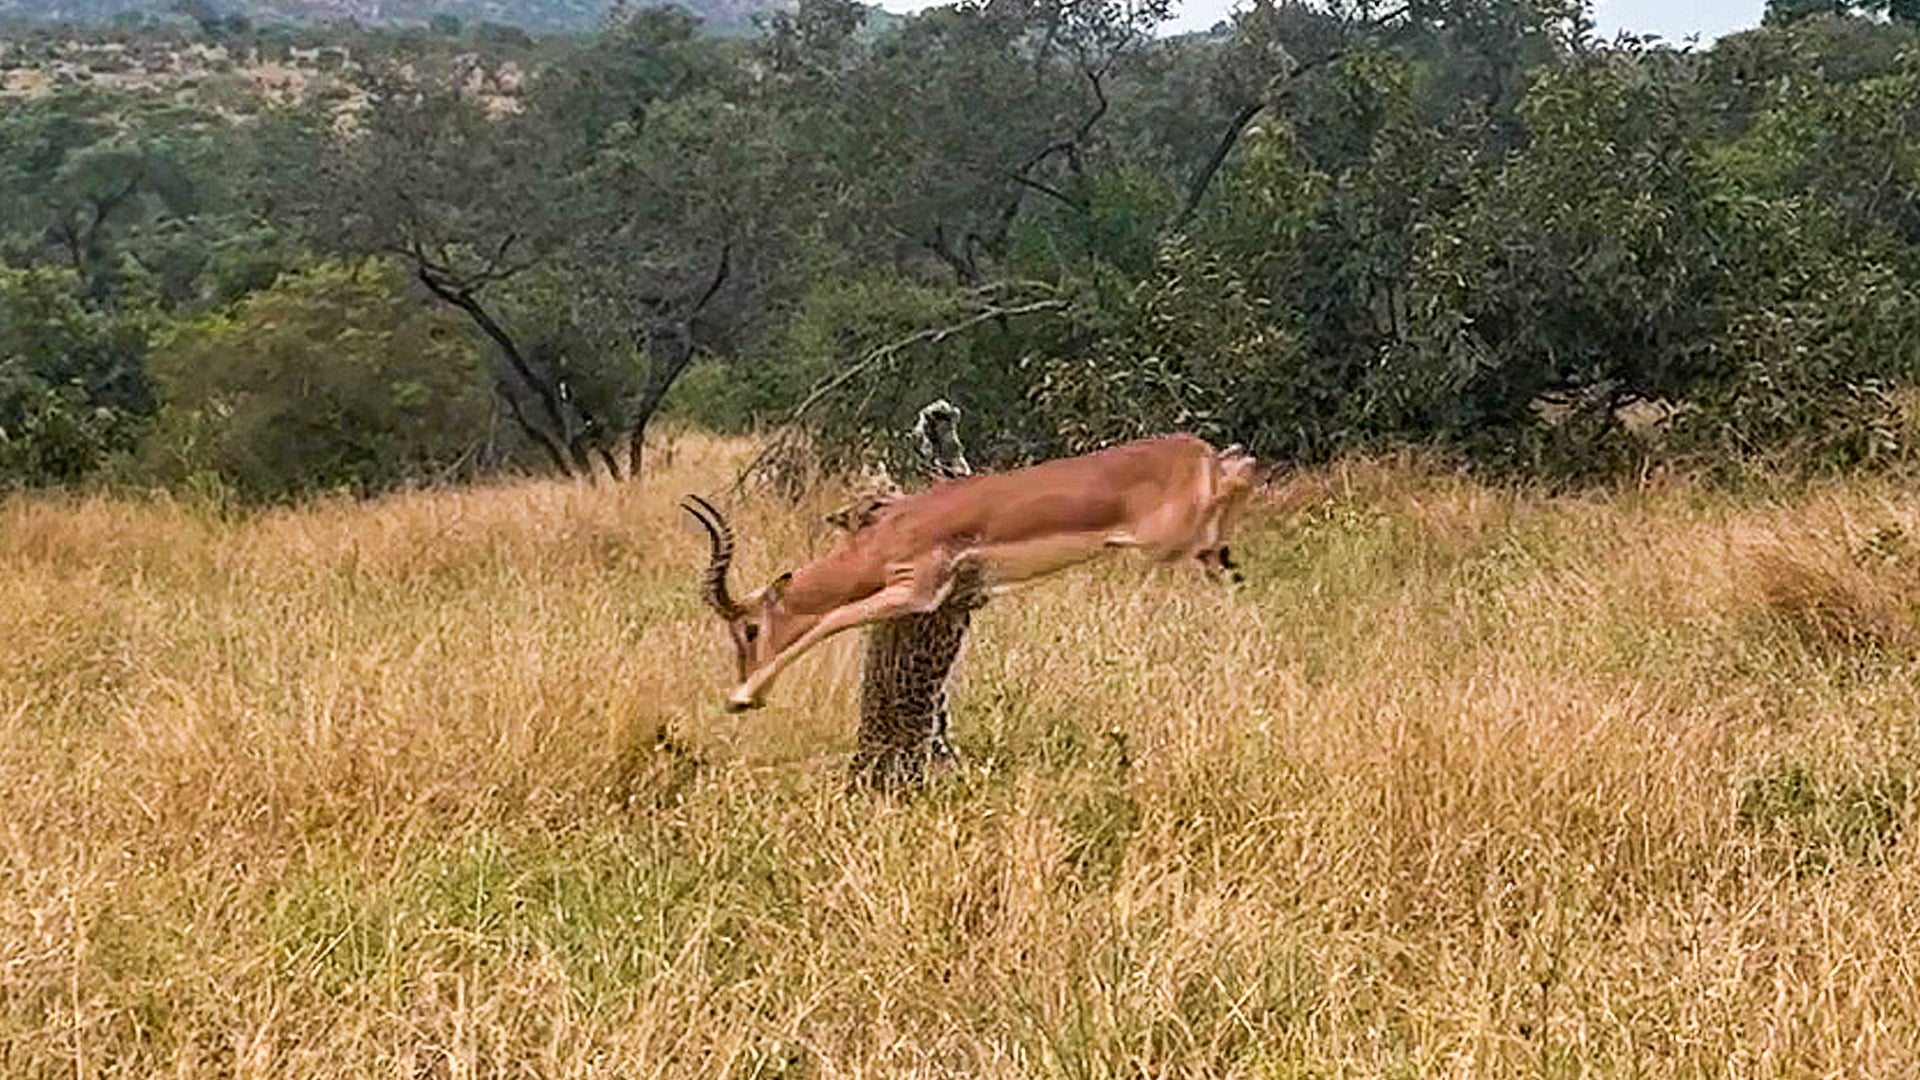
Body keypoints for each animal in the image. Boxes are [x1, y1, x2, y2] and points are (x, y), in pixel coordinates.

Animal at [683, 434, 1258, 712]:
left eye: (748, 629)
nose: (742, 677)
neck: (891, 532)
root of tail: (1194, 449)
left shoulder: (915, 591)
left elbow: (831, 619)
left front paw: (743, 697)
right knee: (1239, 470)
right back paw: (1227, 564)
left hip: (1165, 540)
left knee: (1245, 466)